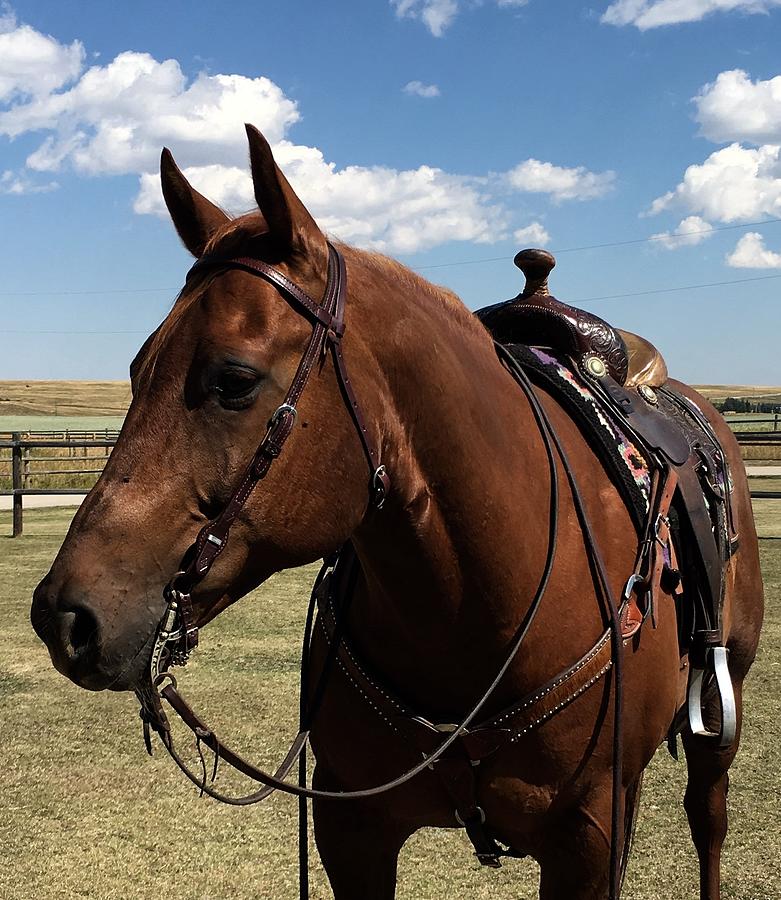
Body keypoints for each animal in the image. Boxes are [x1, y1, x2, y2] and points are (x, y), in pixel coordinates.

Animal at [30, 126, 760, 900]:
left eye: (234, 380)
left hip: (723, 706)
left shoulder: (590, 837)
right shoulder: (353, 832)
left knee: (708, 818)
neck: (478, 606)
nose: (64, 617)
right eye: (137, 370)